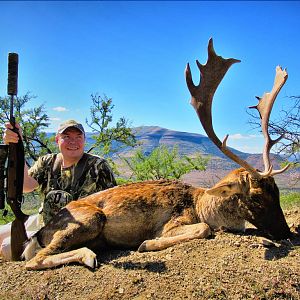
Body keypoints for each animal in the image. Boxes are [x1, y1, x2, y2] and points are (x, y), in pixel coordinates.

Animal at [22, 38, 290, 270]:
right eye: (256, 197)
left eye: (277, 192)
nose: (286, 232)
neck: (202, 205)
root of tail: (41, 232)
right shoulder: (173, 223)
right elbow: (203, 229)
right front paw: (146, 243)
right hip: (90, 218)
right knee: (34, 260)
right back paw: (89, 255)